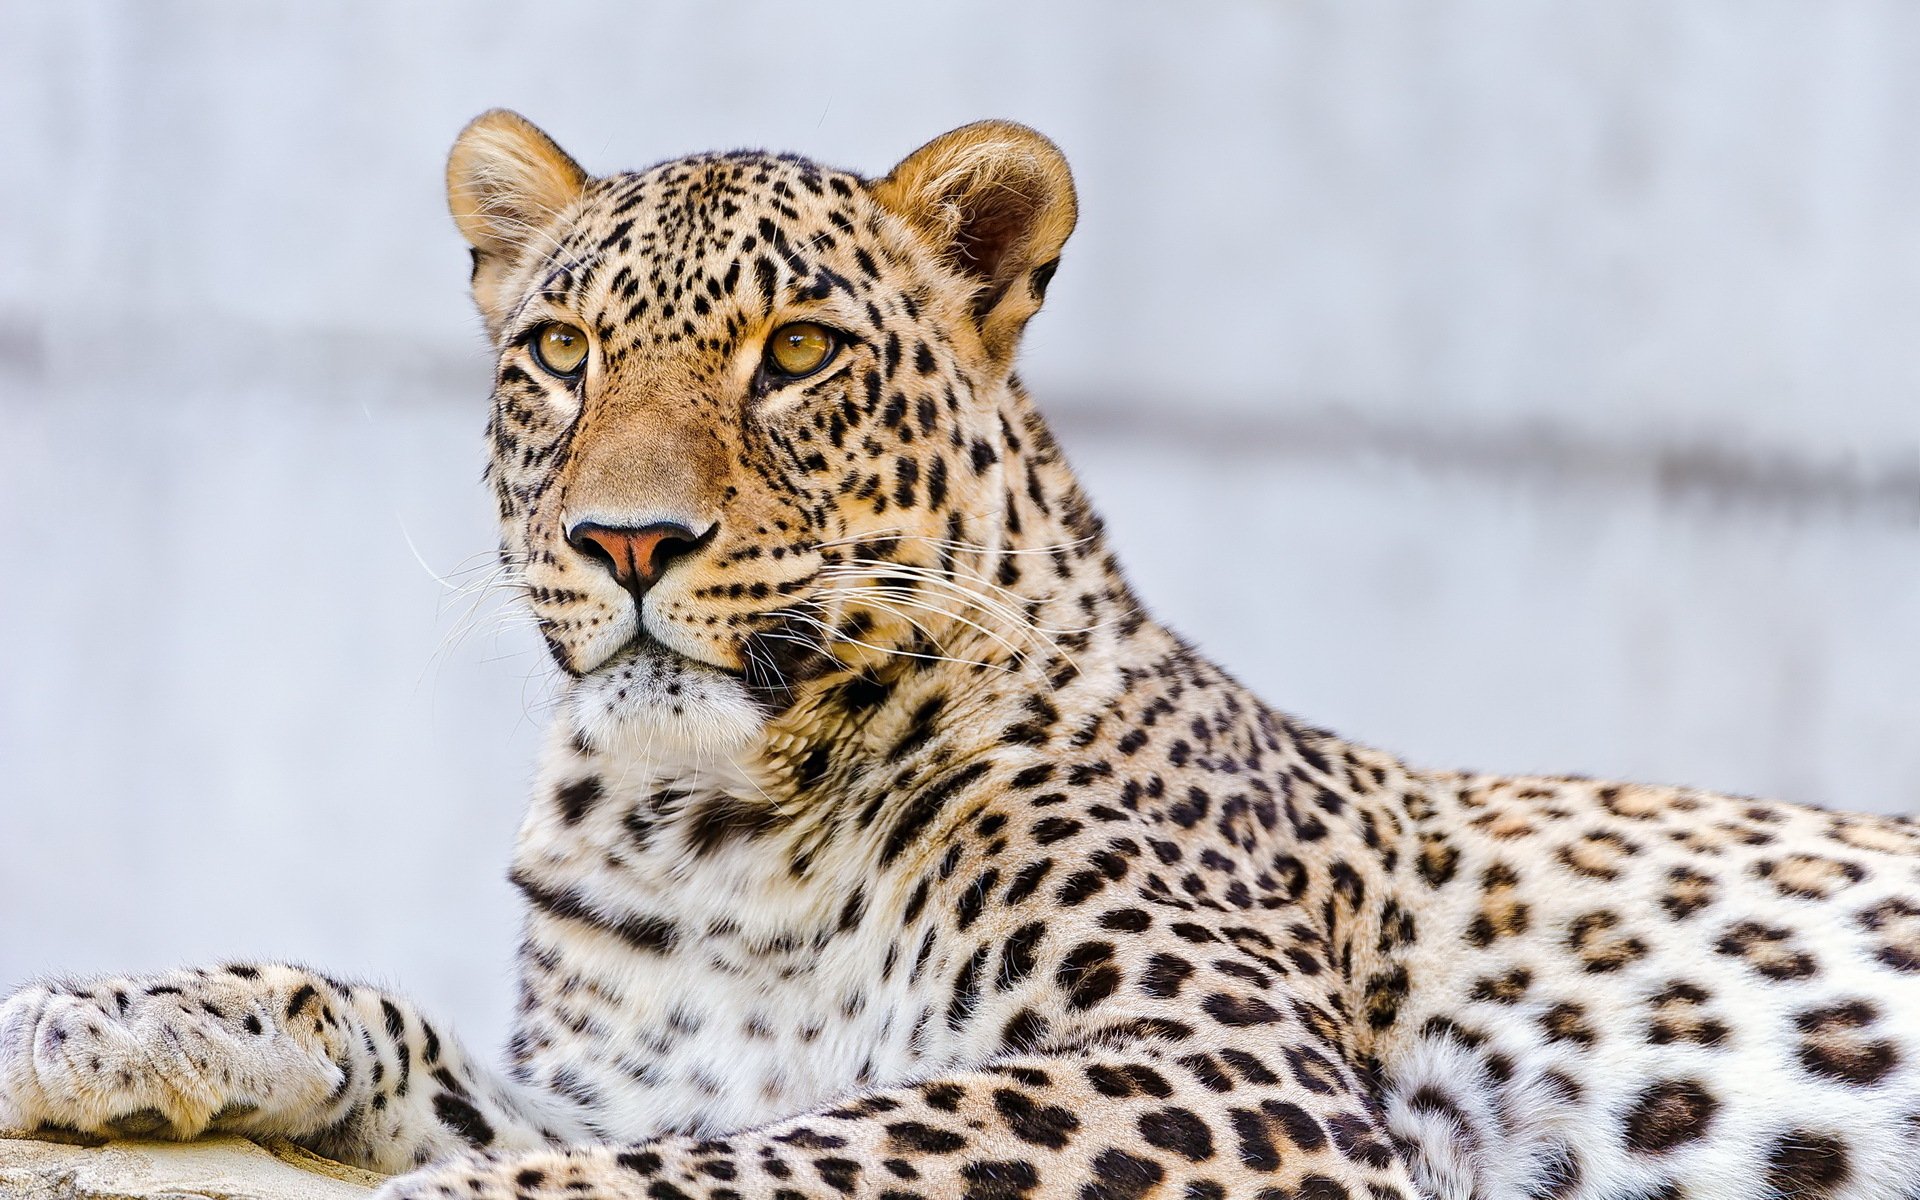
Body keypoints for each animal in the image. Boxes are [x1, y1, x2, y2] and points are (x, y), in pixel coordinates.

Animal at [4, 109, 1919, 1200]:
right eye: (559, 350)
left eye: (795, 353)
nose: (627, 542)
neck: (707, 830)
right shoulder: (633, 1087)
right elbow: (400, 1027)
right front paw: (108, 1018)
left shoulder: (1223, 1070)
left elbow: (788, 1164)